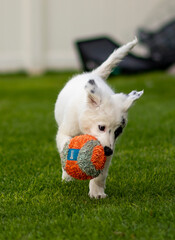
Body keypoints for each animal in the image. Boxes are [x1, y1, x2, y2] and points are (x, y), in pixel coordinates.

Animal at [54, 37, 144, 199]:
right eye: (101, 127)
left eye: (118, 131)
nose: (108, 151)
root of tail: (93, 74)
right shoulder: (64, 132)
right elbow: (66, 147)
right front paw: (68, 173)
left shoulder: (109, 146)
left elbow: (101, 174)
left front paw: (97, 192)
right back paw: (66, 177)